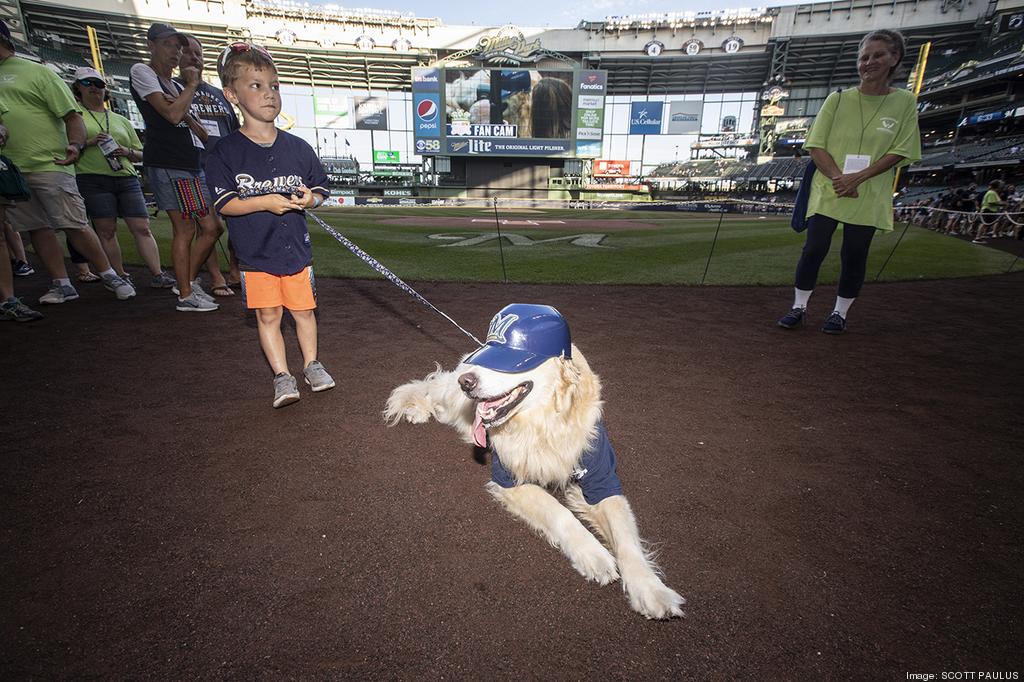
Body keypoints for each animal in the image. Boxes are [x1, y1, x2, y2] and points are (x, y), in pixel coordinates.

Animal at [385, 303, 688, 614]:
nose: (466, 382)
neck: (544, 422)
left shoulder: (602, 480)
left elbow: (626, 537)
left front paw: (651, 589)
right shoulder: (509, 481)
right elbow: (559, 511)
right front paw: (594, 554)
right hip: (455, 403)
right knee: (433, 391)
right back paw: (417, 410)